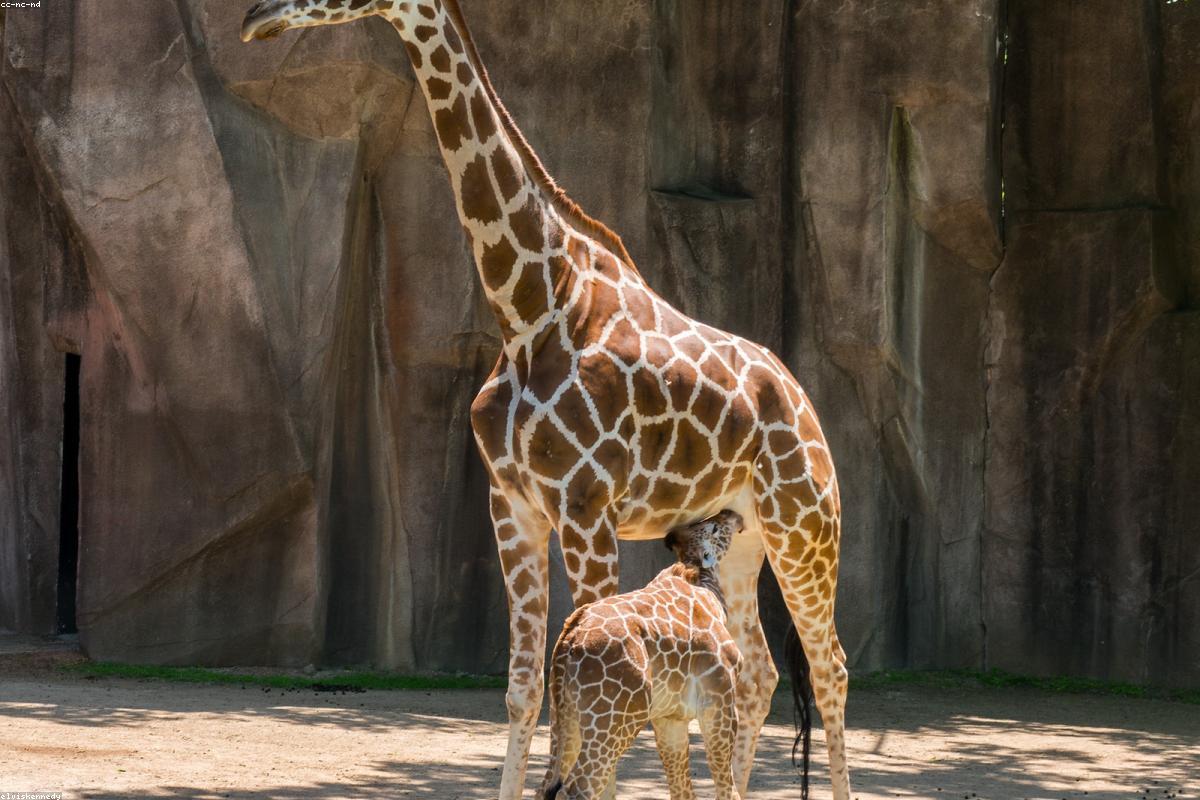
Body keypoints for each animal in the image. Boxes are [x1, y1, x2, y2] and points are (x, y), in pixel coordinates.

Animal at [540, 509, 745, 800]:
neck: (708, 588)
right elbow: (726, 786)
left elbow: (682, 789)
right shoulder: (720, 701)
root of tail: (570, 636)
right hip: (616, 721)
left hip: (564, 716)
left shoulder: (669, 717)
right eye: (715, 528)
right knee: (576, 788)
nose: (732, 514)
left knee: (547, 785)